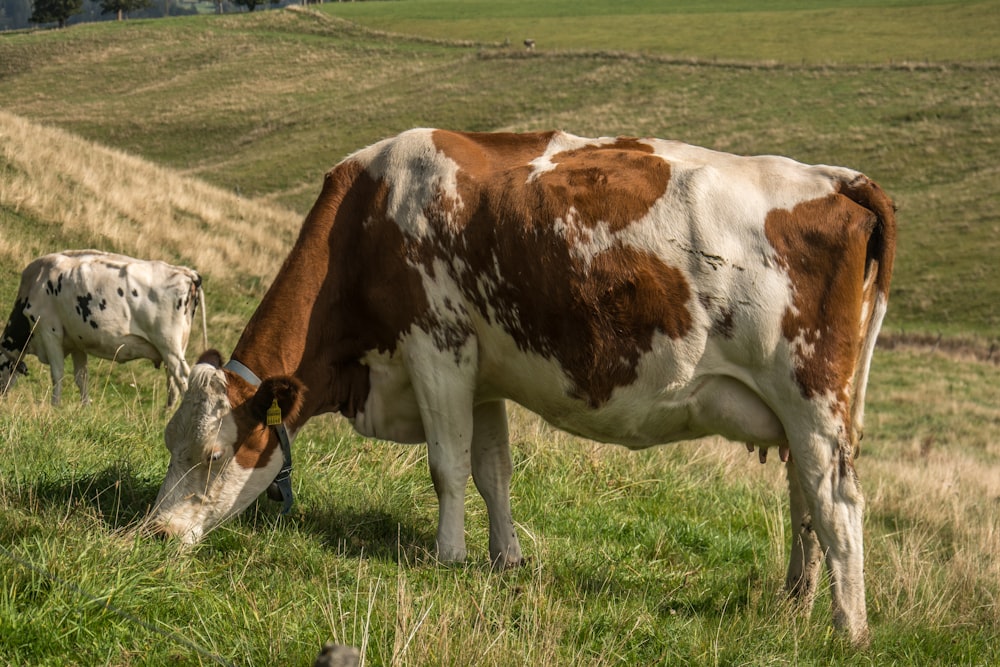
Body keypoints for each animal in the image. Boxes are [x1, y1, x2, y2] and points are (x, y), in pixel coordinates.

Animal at [0, 250, 207, 408]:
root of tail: (186, 272)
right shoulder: (76, 342)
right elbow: (81, 377)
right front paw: (85, 408)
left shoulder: (49, 331)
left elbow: (57, 373)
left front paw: (54, 407)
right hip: (176, 348)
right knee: (173, 384)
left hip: (168, 344)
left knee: (183, 378)